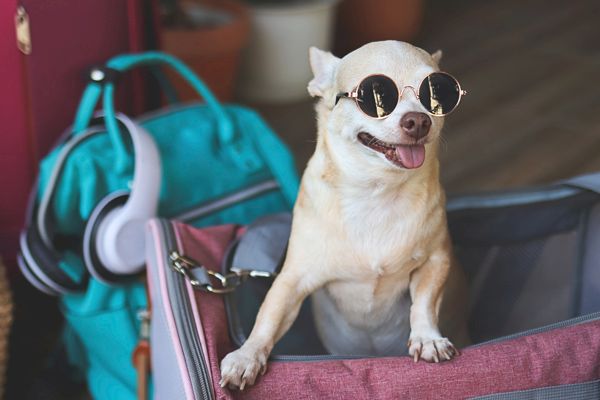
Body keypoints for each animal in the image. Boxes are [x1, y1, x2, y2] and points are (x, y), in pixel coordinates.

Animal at [219, 41, 468, 390]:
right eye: (374, 95)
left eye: (436, 93)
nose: (419, 120)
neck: (376, 192)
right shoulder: (293, 279)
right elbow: (268, 315)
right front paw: (247, 356)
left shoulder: (435, 261)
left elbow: (425, 302)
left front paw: (428, 337)